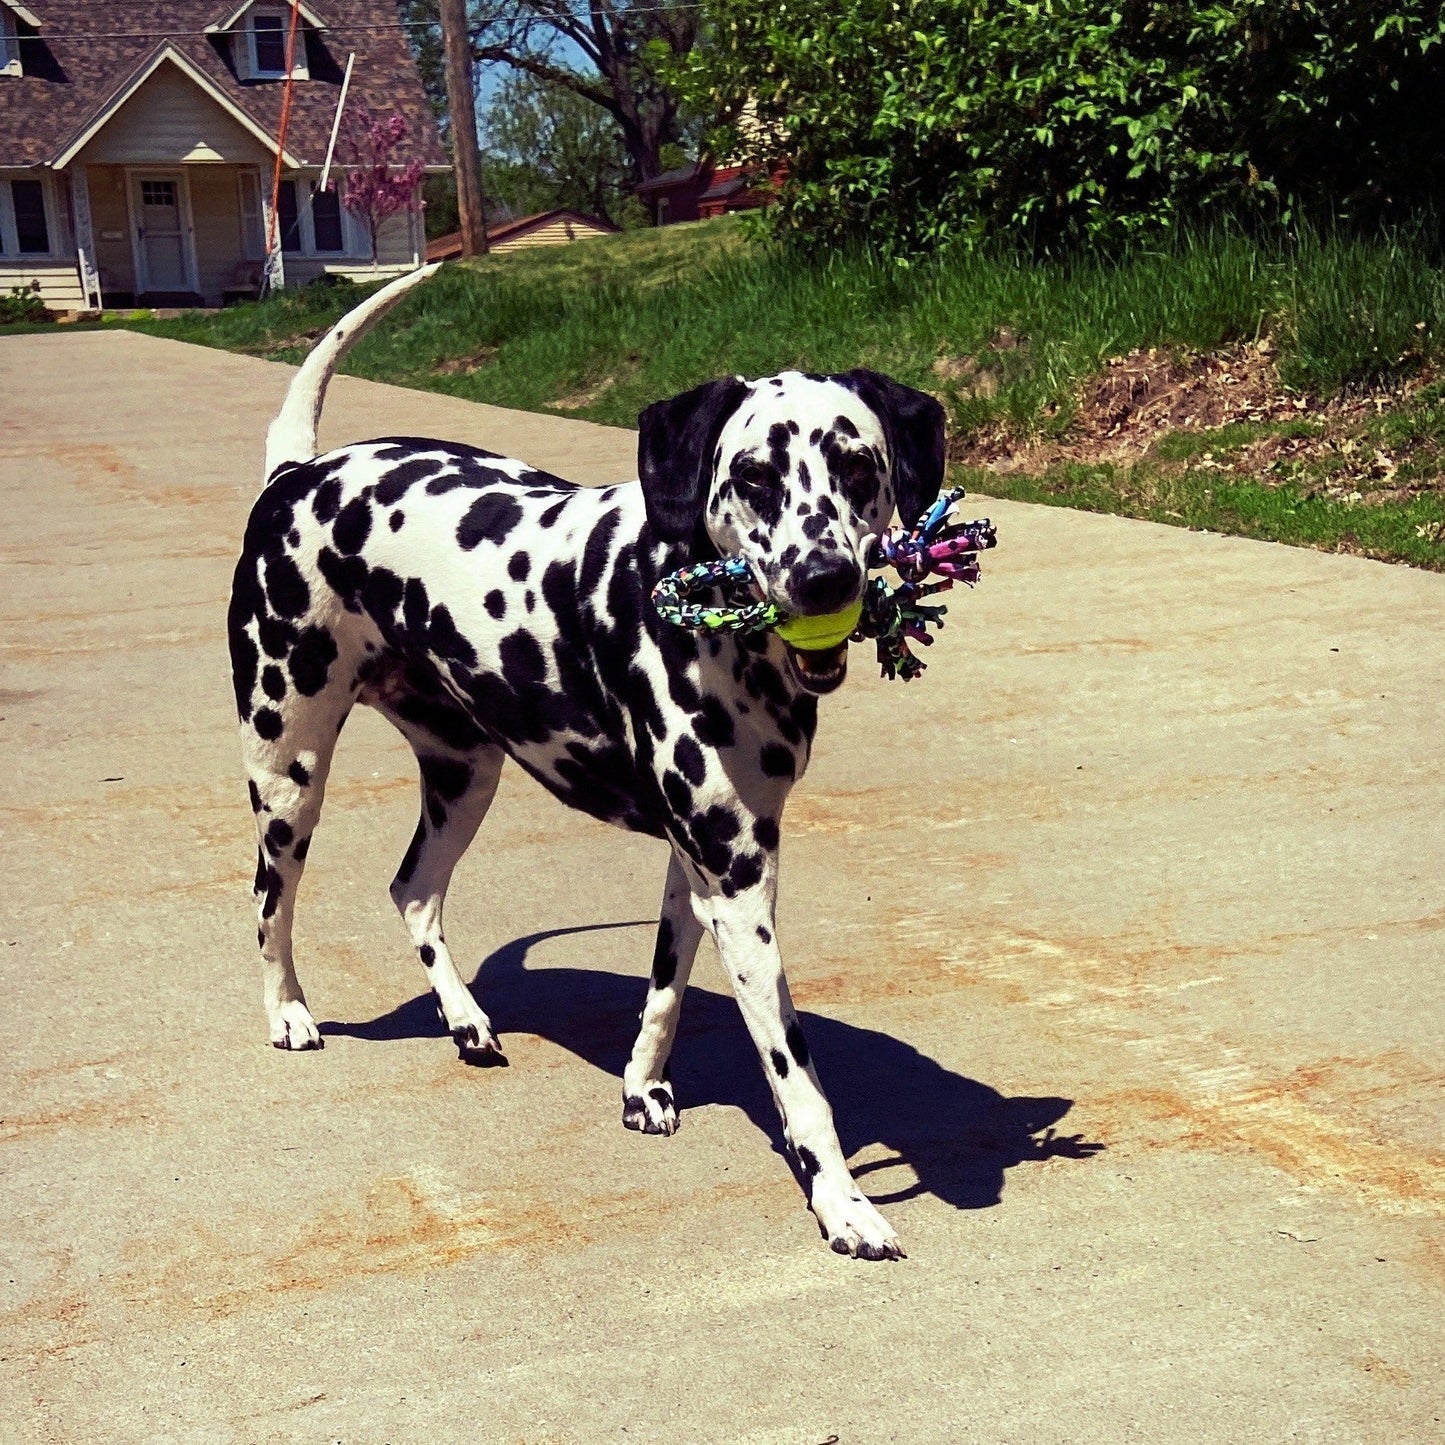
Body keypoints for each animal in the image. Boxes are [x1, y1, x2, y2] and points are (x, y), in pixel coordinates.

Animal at [226, 265, 947, 1260]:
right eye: (753, 478)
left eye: (857, 467)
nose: (823, 580)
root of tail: (298, 474)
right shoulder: (739, 887)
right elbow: (797, 1078)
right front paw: (842, 1203)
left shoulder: (703, 865)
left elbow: (664, 991)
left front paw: (642, 1087)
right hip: (289, 772)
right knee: (270, 901)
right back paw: (289, 1012)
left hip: (465, 776)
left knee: (413, 889)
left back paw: (466, 1019)